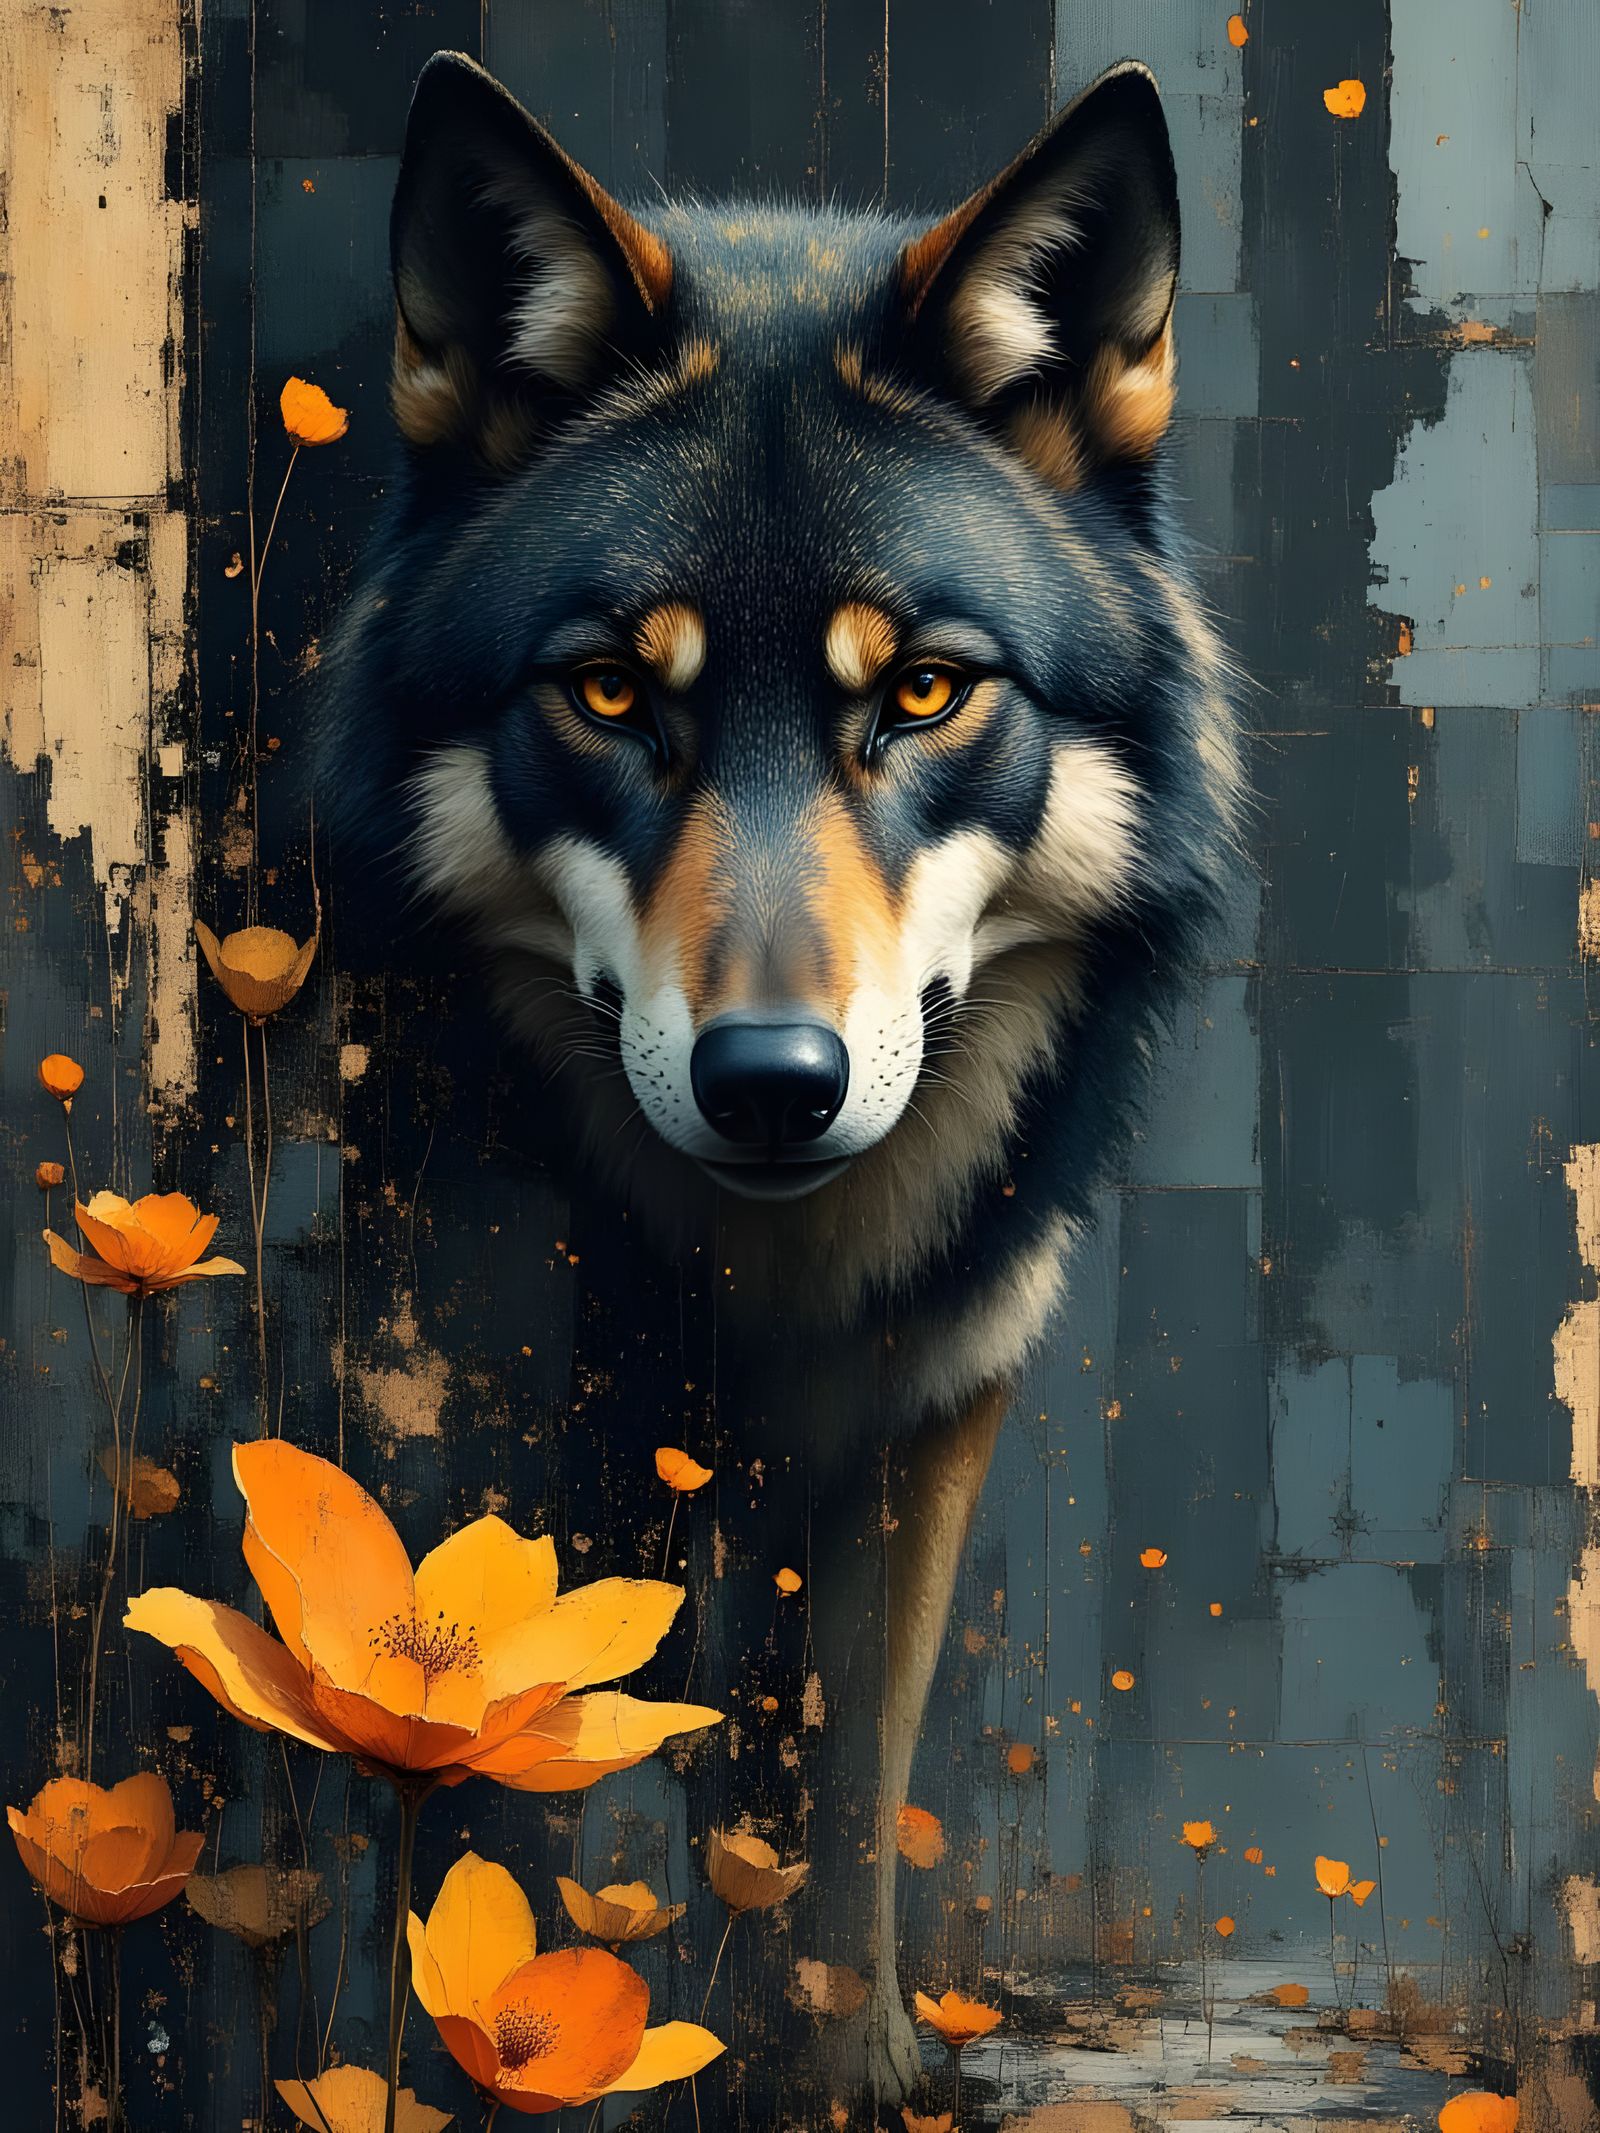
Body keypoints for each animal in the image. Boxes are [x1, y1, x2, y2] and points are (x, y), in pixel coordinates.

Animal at [318, 48, 1241, 2111]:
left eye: (922, 691)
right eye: (606, 691)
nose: (769, 1082)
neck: (771, 1282)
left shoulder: (920, 1427)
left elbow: (833, 1803)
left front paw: (842, 2068)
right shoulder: (524, 1422)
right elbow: (539, 1792)